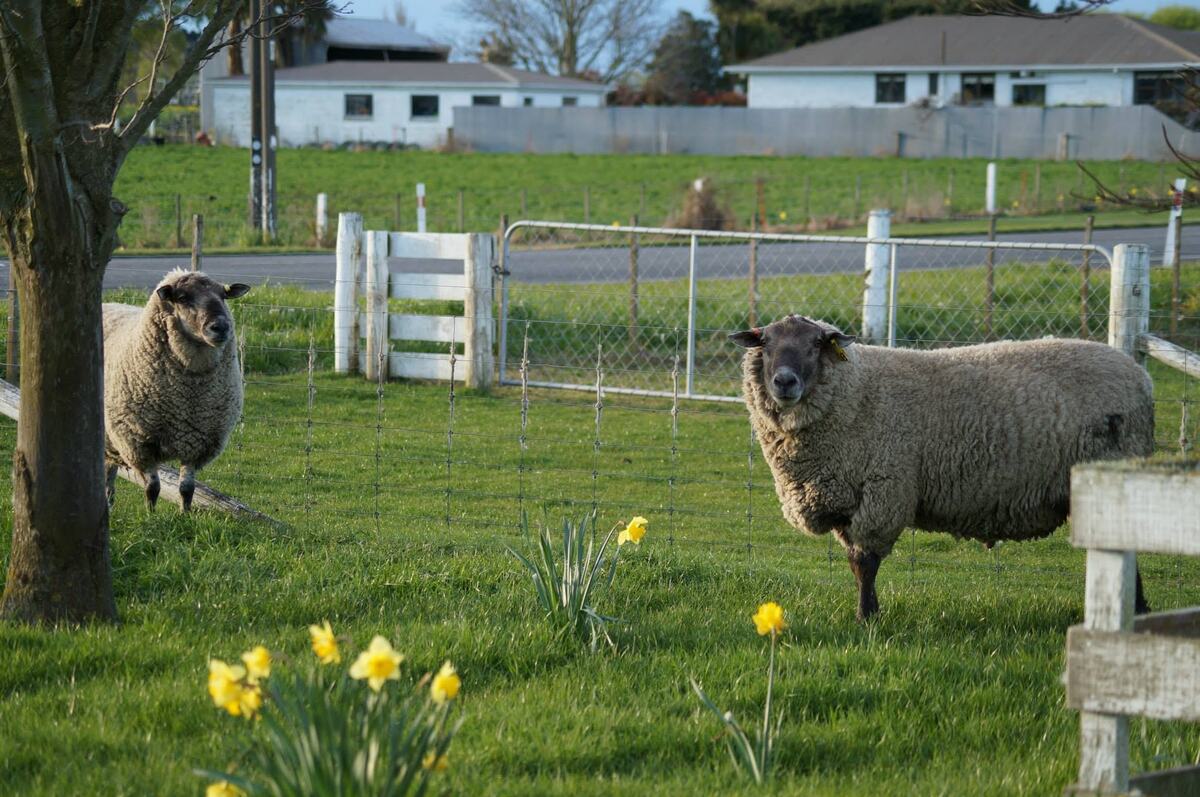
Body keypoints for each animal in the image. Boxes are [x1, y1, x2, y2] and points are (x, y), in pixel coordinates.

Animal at [103, 270, 250, 512]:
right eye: (182, 297)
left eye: (223, 295)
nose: (221, 327)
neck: (185, 399)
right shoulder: (141, 442)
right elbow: (152, 488)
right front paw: (151, 515)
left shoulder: (197, 442)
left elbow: (187, 488)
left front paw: (185, 514)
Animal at [730, 314, 1154, 621]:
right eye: (766, 343)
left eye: (817, 344)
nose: (785, 382)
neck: (855, 392)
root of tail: (1139, 375)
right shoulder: (847, 497)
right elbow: (854, 563)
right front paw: (869, 612)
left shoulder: (883, 490)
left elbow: (865, 563)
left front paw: (866, 618)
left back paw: (1135, 610)